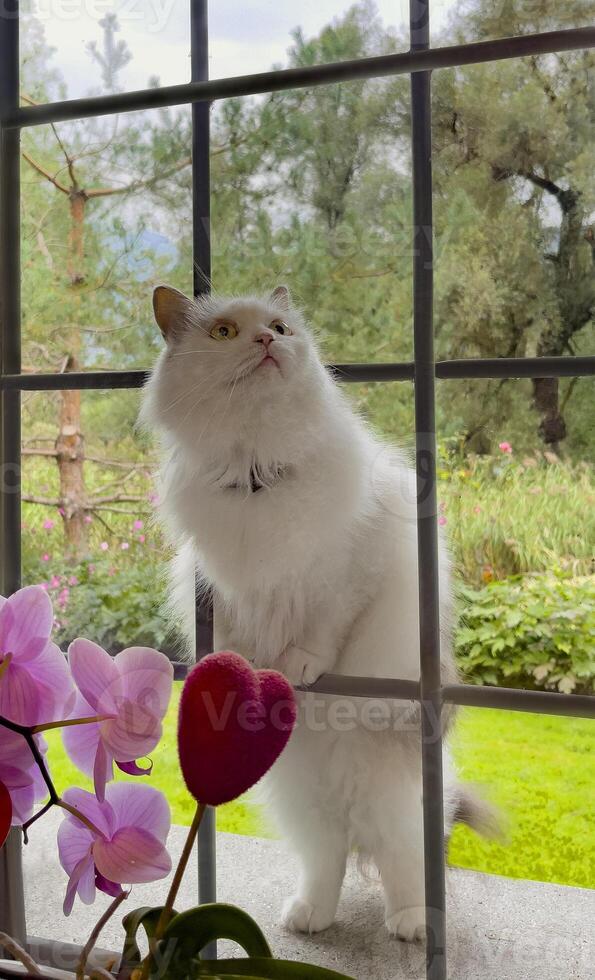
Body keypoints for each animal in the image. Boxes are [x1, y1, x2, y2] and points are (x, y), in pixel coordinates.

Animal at [141, 288, 494, 944]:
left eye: (281, 327)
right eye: (225, 332)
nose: (265, 341)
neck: (258, 472)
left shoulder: (347, 571)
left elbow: (322, 630)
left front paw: (298, 665)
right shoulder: (221, 586)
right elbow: (239, 638)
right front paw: (250, 669)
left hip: (397, 797)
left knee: (405, 862)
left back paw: (411, 924)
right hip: (304, 804)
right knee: (326, 859)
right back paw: (309, 919)